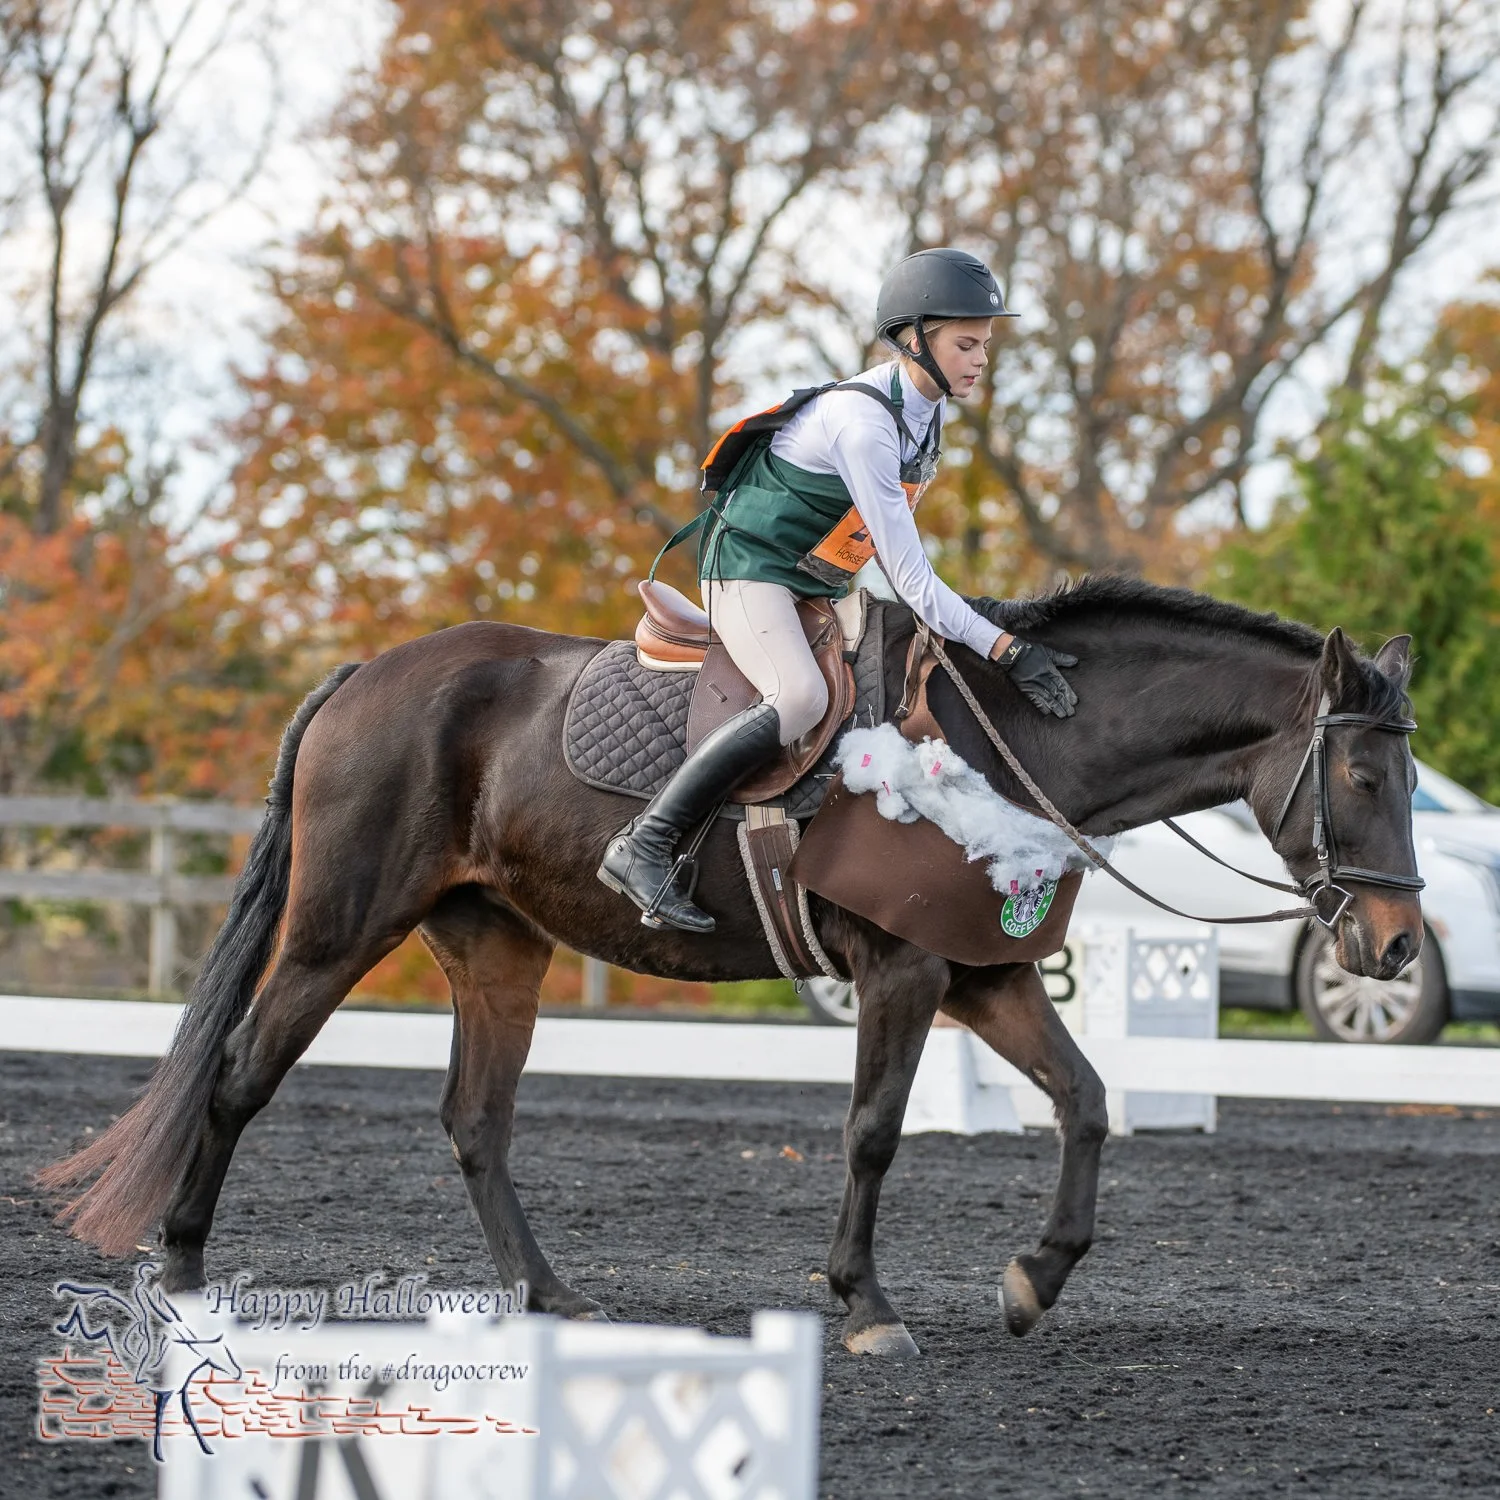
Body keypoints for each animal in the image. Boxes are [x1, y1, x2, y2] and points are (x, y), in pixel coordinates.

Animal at [39, 575, 1424, 1359]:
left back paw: (553, 1299)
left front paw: (1034, 1283)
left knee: (475, 1122)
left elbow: (1084, 1102)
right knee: (237, 1076)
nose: (1397, 946)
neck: (1010, 742)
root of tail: (366, 675)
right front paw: (865, 1310)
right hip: (339, 930)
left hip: (497, 947)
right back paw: (187, 1286)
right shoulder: (907, 973)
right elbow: (874, 1131)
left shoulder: (988, 975)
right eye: (1364, 775)